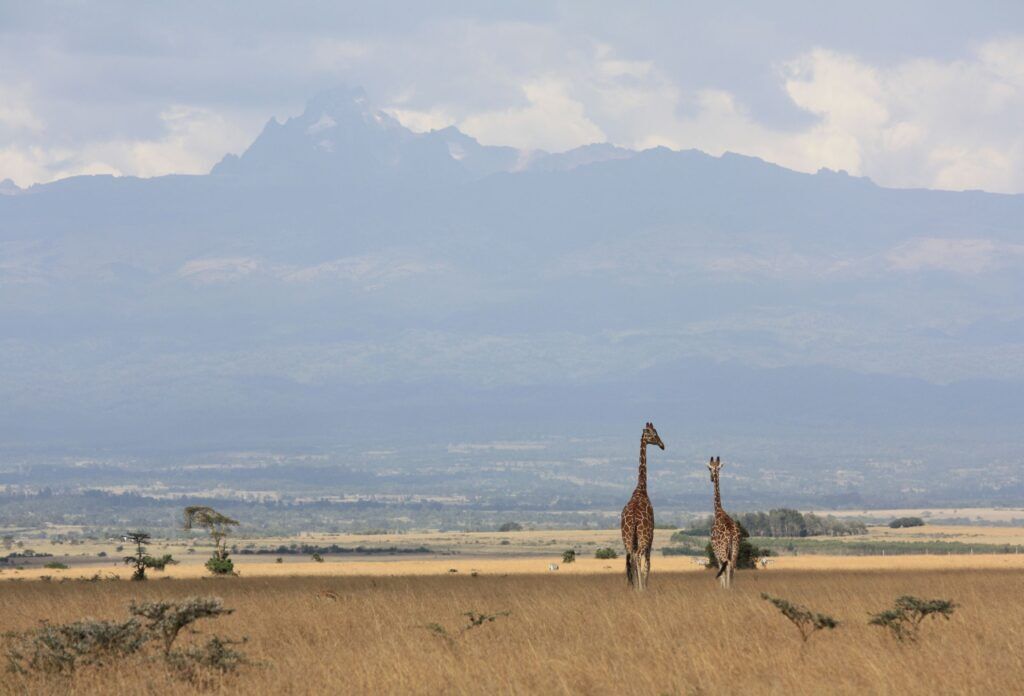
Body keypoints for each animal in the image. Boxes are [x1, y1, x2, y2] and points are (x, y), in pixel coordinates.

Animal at [618, 421, 667, 589]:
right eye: (653, 434)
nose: (662, 445)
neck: (641, 488)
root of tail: (633, 518)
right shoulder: (651, 535)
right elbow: (648, 564)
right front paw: (644, 586)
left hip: (626, 537)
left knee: (631, 557)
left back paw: (632, 587)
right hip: (644, 537)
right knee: (638, 556)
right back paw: (640, 588)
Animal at [708, 458, 741, 589]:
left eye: (709, 468)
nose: (711, 478)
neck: (719, 512)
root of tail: (731, 533)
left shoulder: (715, 552)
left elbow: (720, 569)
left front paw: (722, 588)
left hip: (723, 551)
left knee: (727, 566)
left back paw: (727, 588)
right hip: (736, 549)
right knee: (733, 566)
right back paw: (732, 587)